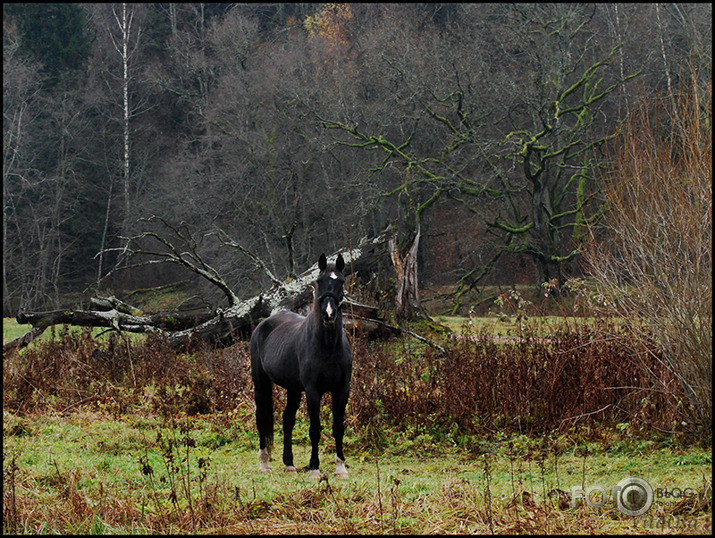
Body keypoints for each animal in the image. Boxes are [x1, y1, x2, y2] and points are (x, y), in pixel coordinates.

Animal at [250, 253, 354, 476]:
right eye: (319, 281)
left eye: (341, 281)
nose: (329, 314)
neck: (328, 347)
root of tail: (263, 325)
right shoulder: (313, 391)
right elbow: (314, 429)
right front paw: (314, 468)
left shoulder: (342, 389)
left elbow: (338, 428)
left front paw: (340, 467)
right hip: (261, 383)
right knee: (261, 418)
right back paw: (264, 463)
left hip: (293, 389)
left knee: (287, 419)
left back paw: (289, 464)